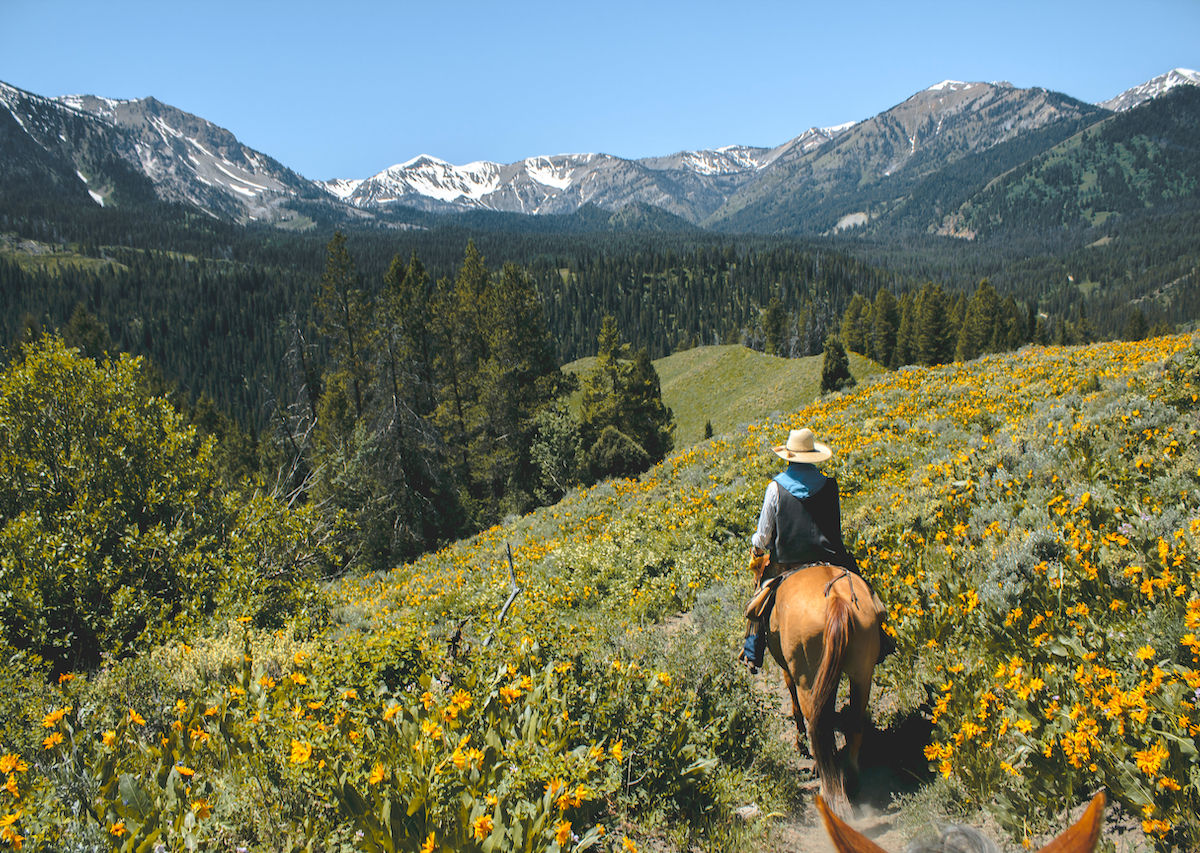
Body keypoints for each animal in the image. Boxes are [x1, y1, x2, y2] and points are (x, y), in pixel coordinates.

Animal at [748, 556, 883, 815]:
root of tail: (837, 601)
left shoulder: (790, 671)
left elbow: (794, 705)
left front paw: (799, 744)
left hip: (806, 676)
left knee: (817, 723)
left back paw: (825, 782)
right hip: (862, 672)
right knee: (854, 722)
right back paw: (851, 781)